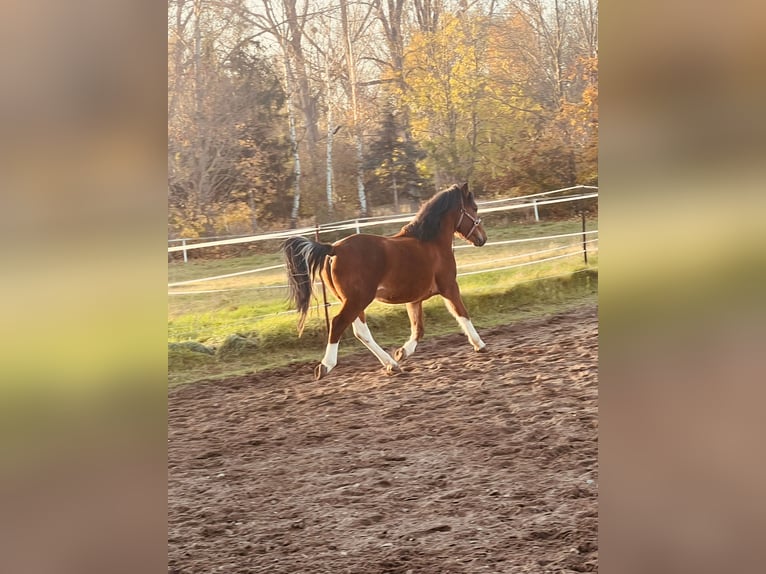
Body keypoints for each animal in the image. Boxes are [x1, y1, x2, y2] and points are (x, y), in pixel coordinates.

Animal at [281, 182, 488, 380]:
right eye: (475, 208)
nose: (483, 238)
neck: (431, 243)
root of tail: (334, 249)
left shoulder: (414, 299)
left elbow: (418, 328)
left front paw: (402, 352)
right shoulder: (449, 286)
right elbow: (462, 314)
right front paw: (480, 345)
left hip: (352, 301)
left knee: (360, 331)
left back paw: (392, 364)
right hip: (358, 299)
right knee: (339, 323)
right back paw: (326, 366)